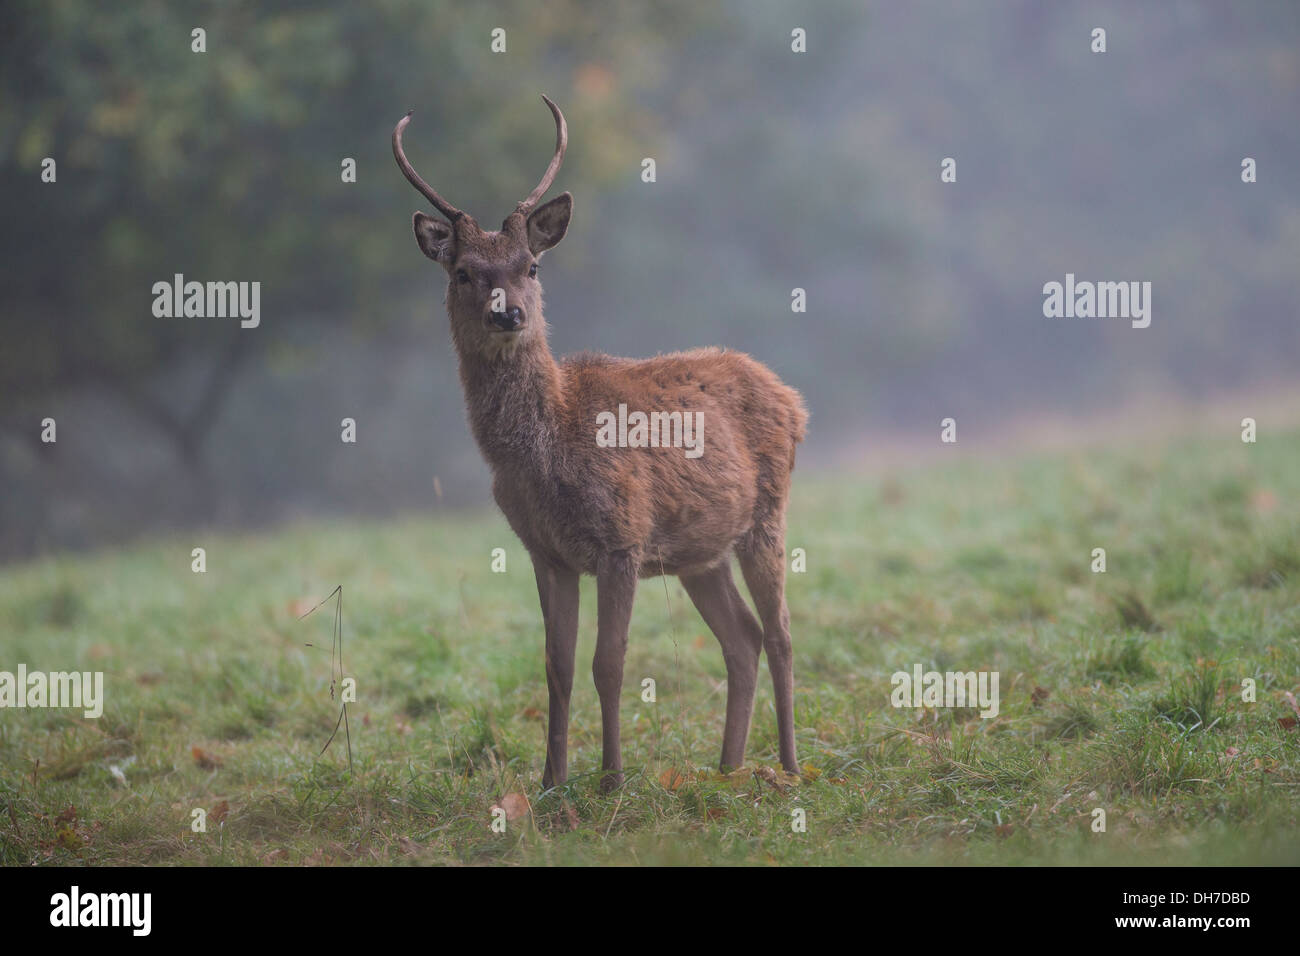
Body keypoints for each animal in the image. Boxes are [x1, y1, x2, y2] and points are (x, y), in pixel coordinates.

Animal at [393, 95, 807, 792]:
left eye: (531, 266)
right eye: (463, 272)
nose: (508, 314)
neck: (544, 451)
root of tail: (793, 397)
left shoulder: (623, 537)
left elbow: (607, 662)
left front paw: (612, 777)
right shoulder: (546, 553)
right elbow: (556, 666)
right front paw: (551, 781)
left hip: (768, 514)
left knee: (779, 634)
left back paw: (790, 764)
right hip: (700, 552)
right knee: (743, 639)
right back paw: (726, 768)